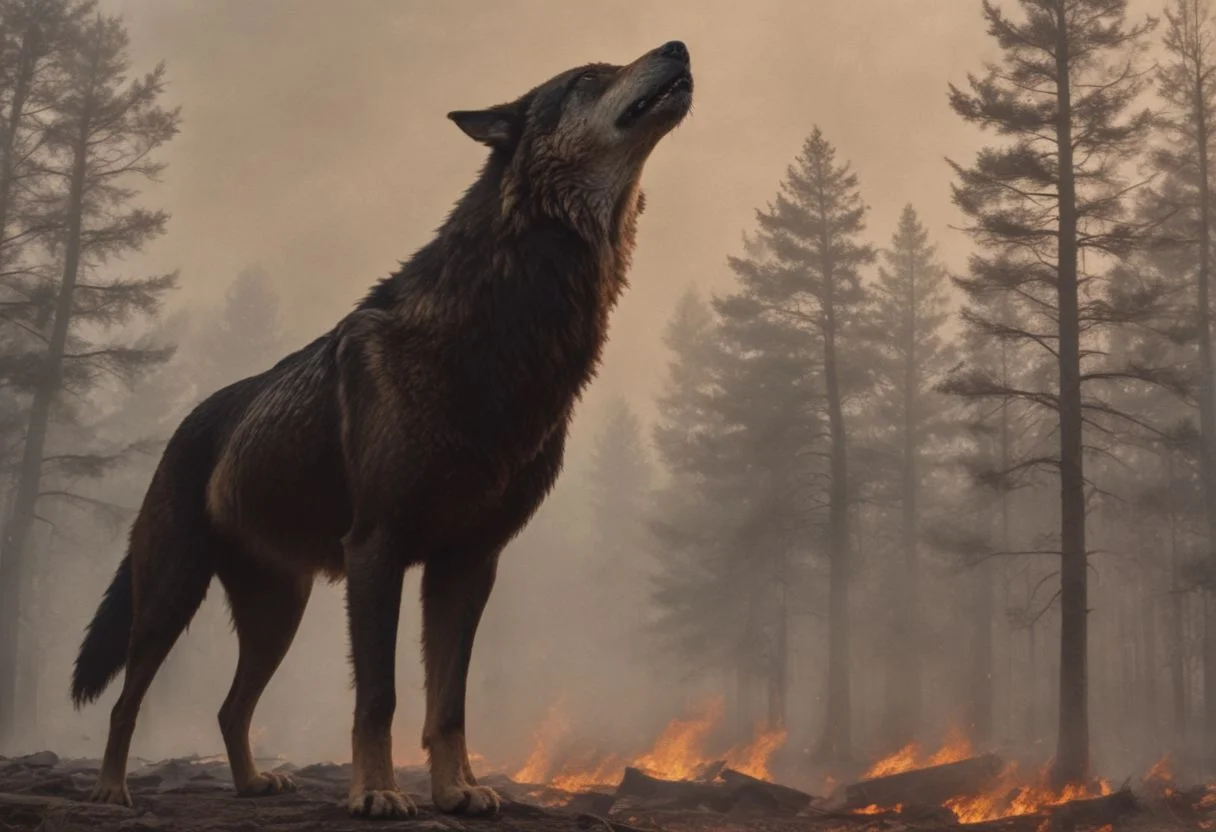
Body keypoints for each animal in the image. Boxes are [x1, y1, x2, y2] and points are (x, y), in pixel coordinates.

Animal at [69, 40, 693, 819]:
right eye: (587, 78)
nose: (677, 46)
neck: (503, 334)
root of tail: (189, 422)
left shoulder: (470, 562)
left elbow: (448, 703)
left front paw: (458, 791)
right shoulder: (378, 549)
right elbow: (380, 696)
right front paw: (375, 792)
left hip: (280, 614)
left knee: (230, 707)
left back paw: (251, 784)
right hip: (170, 598)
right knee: (127, 702)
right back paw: (110, 790)